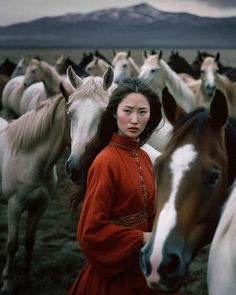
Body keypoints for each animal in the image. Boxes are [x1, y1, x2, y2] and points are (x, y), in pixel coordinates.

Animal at [0, 96, 69, 294]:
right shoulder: (14, 206)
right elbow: (12, 244)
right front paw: (7, 284)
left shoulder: (40, 206)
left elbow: (30, 240)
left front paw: (28, 278)